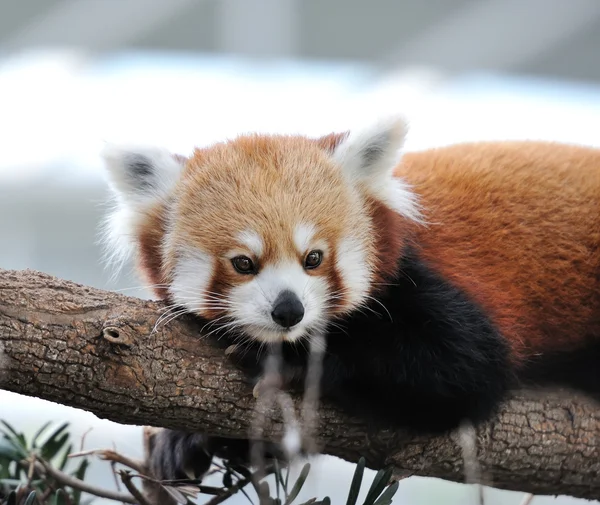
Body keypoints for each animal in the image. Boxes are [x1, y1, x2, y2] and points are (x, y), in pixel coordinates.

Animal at [99, 116, 600, 482]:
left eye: (314, 258)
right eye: (243, 263)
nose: (289, 311)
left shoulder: (434, 280)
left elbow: (465, 370)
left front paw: (294, 360)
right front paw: (183, 440)